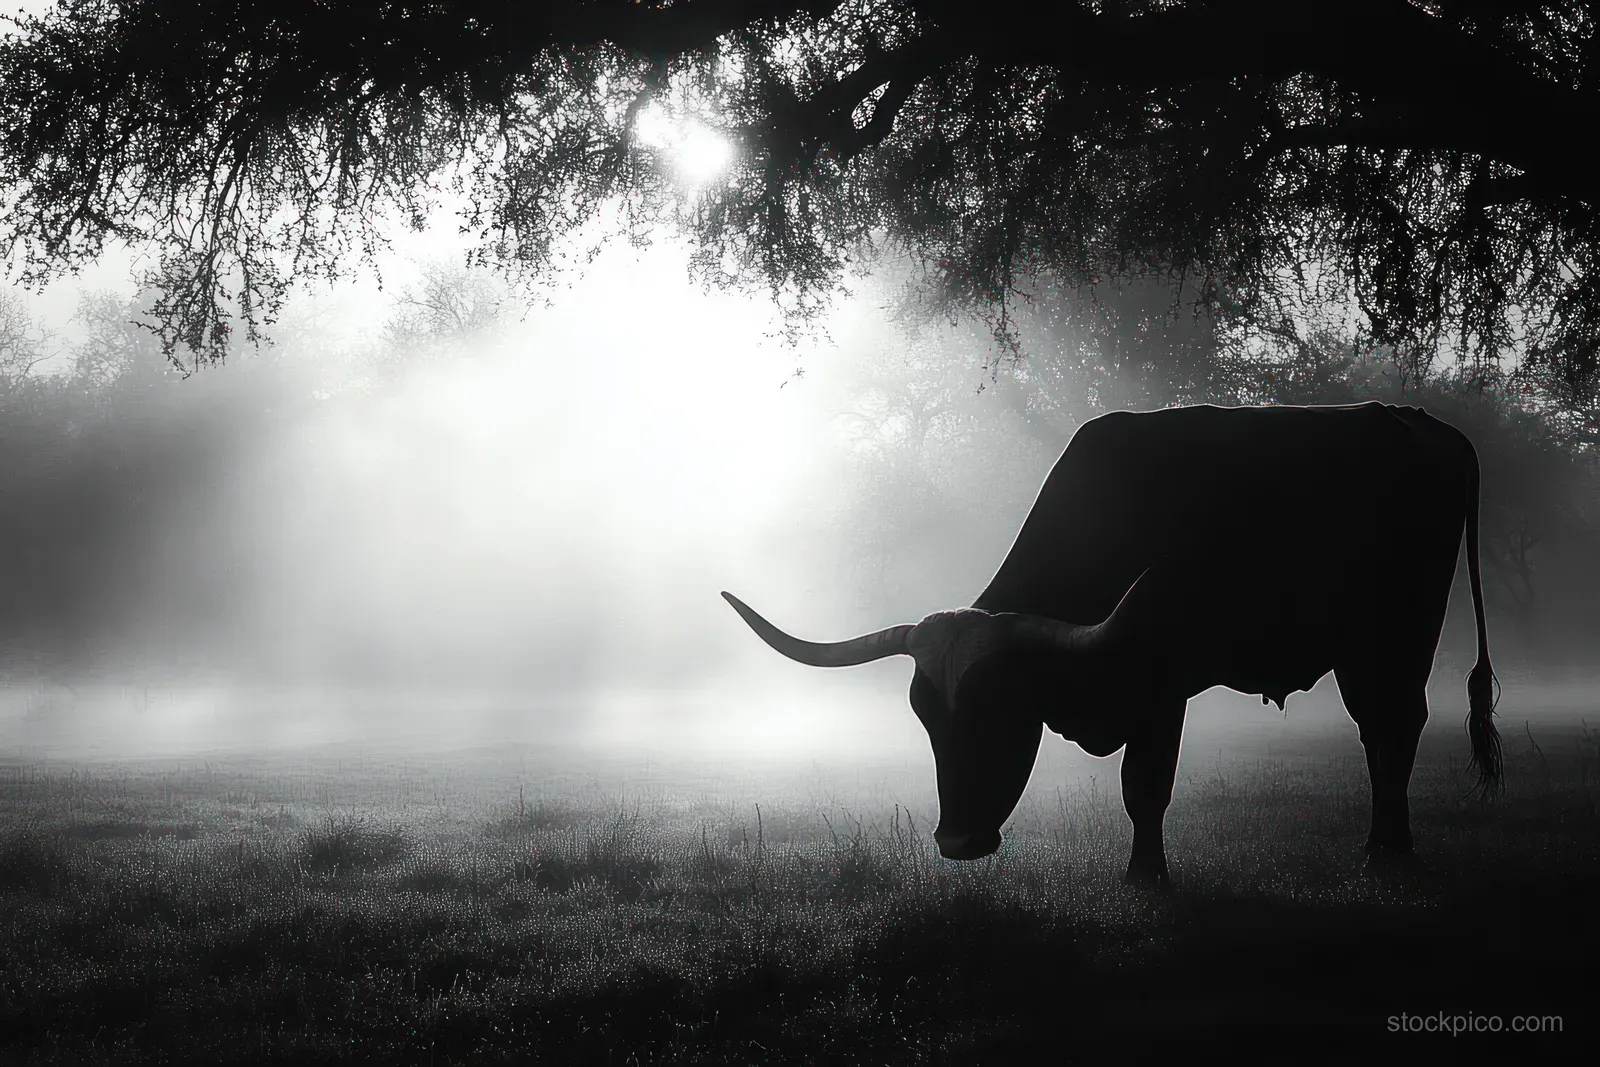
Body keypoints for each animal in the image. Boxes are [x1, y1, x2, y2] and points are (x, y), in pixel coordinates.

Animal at [722, 401, 1501, 888]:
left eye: (1001, 711)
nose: (957, 842)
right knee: (1381, 732)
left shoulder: (1162, 686)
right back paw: (1385, 844)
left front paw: (1146, 876)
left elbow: (1144, 788)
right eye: (926, 718)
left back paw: (1387, 851)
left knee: (1395, 726)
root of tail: (1424, 425)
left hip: (1399, 631)